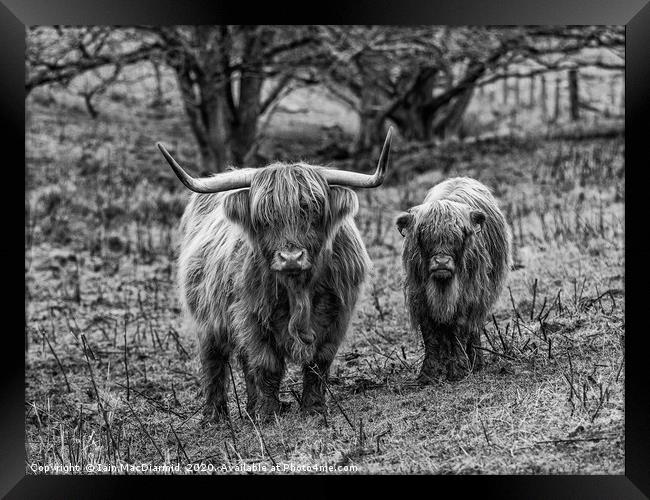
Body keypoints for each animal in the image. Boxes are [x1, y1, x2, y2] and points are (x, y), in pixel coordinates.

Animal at [394, 176, 512, 382]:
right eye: (424, 235)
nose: (442, 262)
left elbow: (459, 329)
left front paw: (458, 369)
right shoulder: (420, 297)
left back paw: (476, 362)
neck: (443, 287)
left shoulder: (468, 296)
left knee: (473, 328)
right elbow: (430, 334)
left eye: (459, 235)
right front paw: (429, 374)